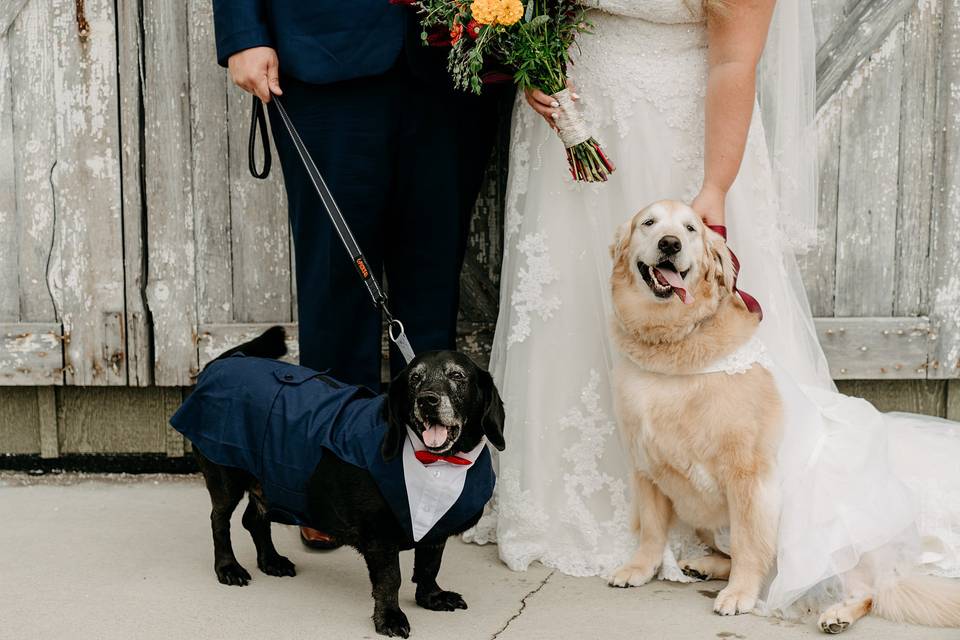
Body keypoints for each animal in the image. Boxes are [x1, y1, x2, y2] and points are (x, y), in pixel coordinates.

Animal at [173, 328, 506, 636]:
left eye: (457, 376)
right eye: (414, 379)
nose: (427, 400)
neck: (437, 462)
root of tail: (223, 363)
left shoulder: (436, 530)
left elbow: (428, 565)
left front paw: (432, 597)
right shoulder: (380, 536)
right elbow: (390, 580)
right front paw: (389, 618)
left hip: (269, 481)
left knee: (254, 520)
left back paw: (271, 561)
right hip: (225, 475)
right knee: (220, 521)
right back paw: (227, 567)